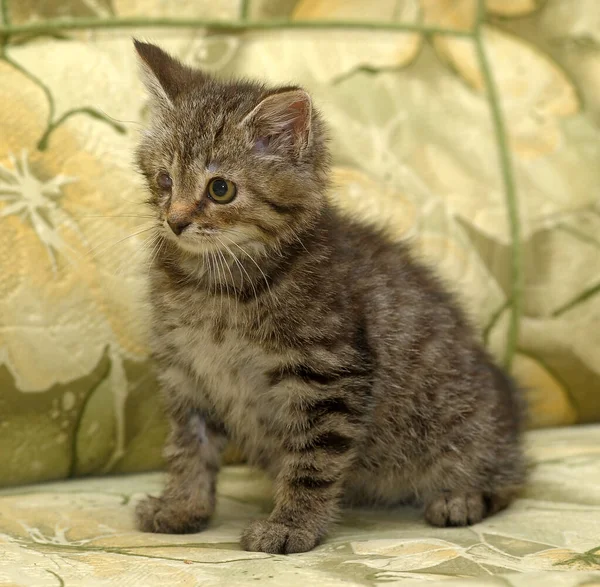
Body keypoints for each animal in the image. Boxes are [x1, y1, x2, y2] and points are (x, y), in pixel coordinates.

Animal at [132, 41, 524, 556]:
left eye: (220, 189)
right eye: (164, 181)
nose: (174, 221)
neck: (214, 285)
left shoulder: (329, 374)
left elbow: (312, 464)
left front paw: (290, 525)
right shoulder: (187, 376)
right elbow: (188, 450)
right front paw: (182, 506)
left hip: (465, 425)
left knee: (508, 478)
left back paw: (462, 496)